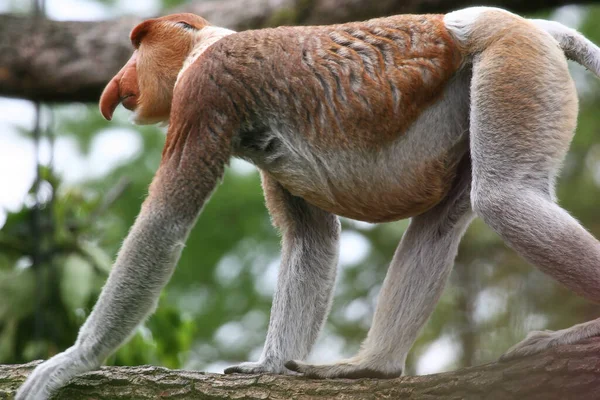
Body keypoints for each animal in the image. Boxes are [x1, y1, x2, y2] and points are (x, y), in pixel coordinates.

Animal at [16, 7, 600, 400]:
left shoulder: (207, 89)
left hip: (512, 63)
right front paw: (269, 366)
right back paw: (371, 367)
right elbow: (312, 237)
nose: (118, 81)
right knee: (442, 221)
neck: (210, 43)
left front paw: (71, 361)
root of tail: (514, 21)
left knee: (504, 196)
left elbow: (164, 225)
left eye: (138, 43)